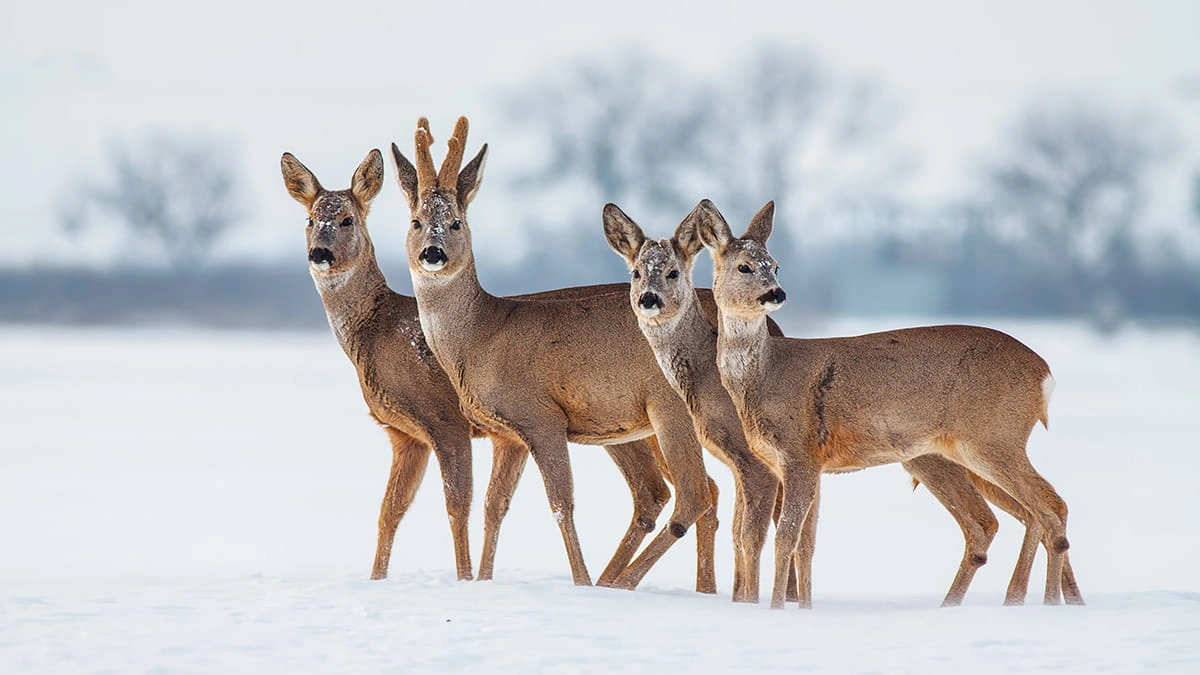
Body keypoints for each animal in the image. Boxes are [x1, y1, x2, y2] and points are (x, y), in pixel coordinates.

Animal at [279, 148, 722, 590]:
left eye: (347, 219)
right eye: (309, 219)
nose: (320, 254)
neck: (378, 330)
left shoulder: (445, 420)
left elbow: (459, 504)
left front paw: (465, 579)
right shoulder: (405, 434)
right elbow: (391, 511)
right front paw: (380, 580)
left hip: (657, 414)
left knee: (692, 491)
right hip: (623, 425)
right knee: (670, 492)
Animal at [393, 116, 792, 600]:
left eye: (455, 223)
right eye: (415, 221)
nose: (432, 253)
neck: (481, 334)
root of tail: (775, 330)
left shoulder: (540, 415)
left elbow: (561, 503)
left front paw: (580, 584)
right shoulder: (508, 432)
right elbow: (495, 505)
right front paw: (481, 581)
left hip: (671, 411)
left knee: (702, 492)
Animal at [603, 202, 1083, 607]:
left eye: (775, 264)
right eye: (744, 265)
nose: (776, 293)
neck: (760, 376)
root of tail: (1044, 372)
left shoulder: (793, 454)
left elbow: (774, 537)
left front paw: (767, 607)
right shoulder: (798, 463)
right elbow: (801, 541)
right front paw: (795, 607)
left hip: (992, 438)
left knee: (1046, 508)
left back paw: (1044, 605)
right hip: (961, 452)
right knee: (1013, 518)